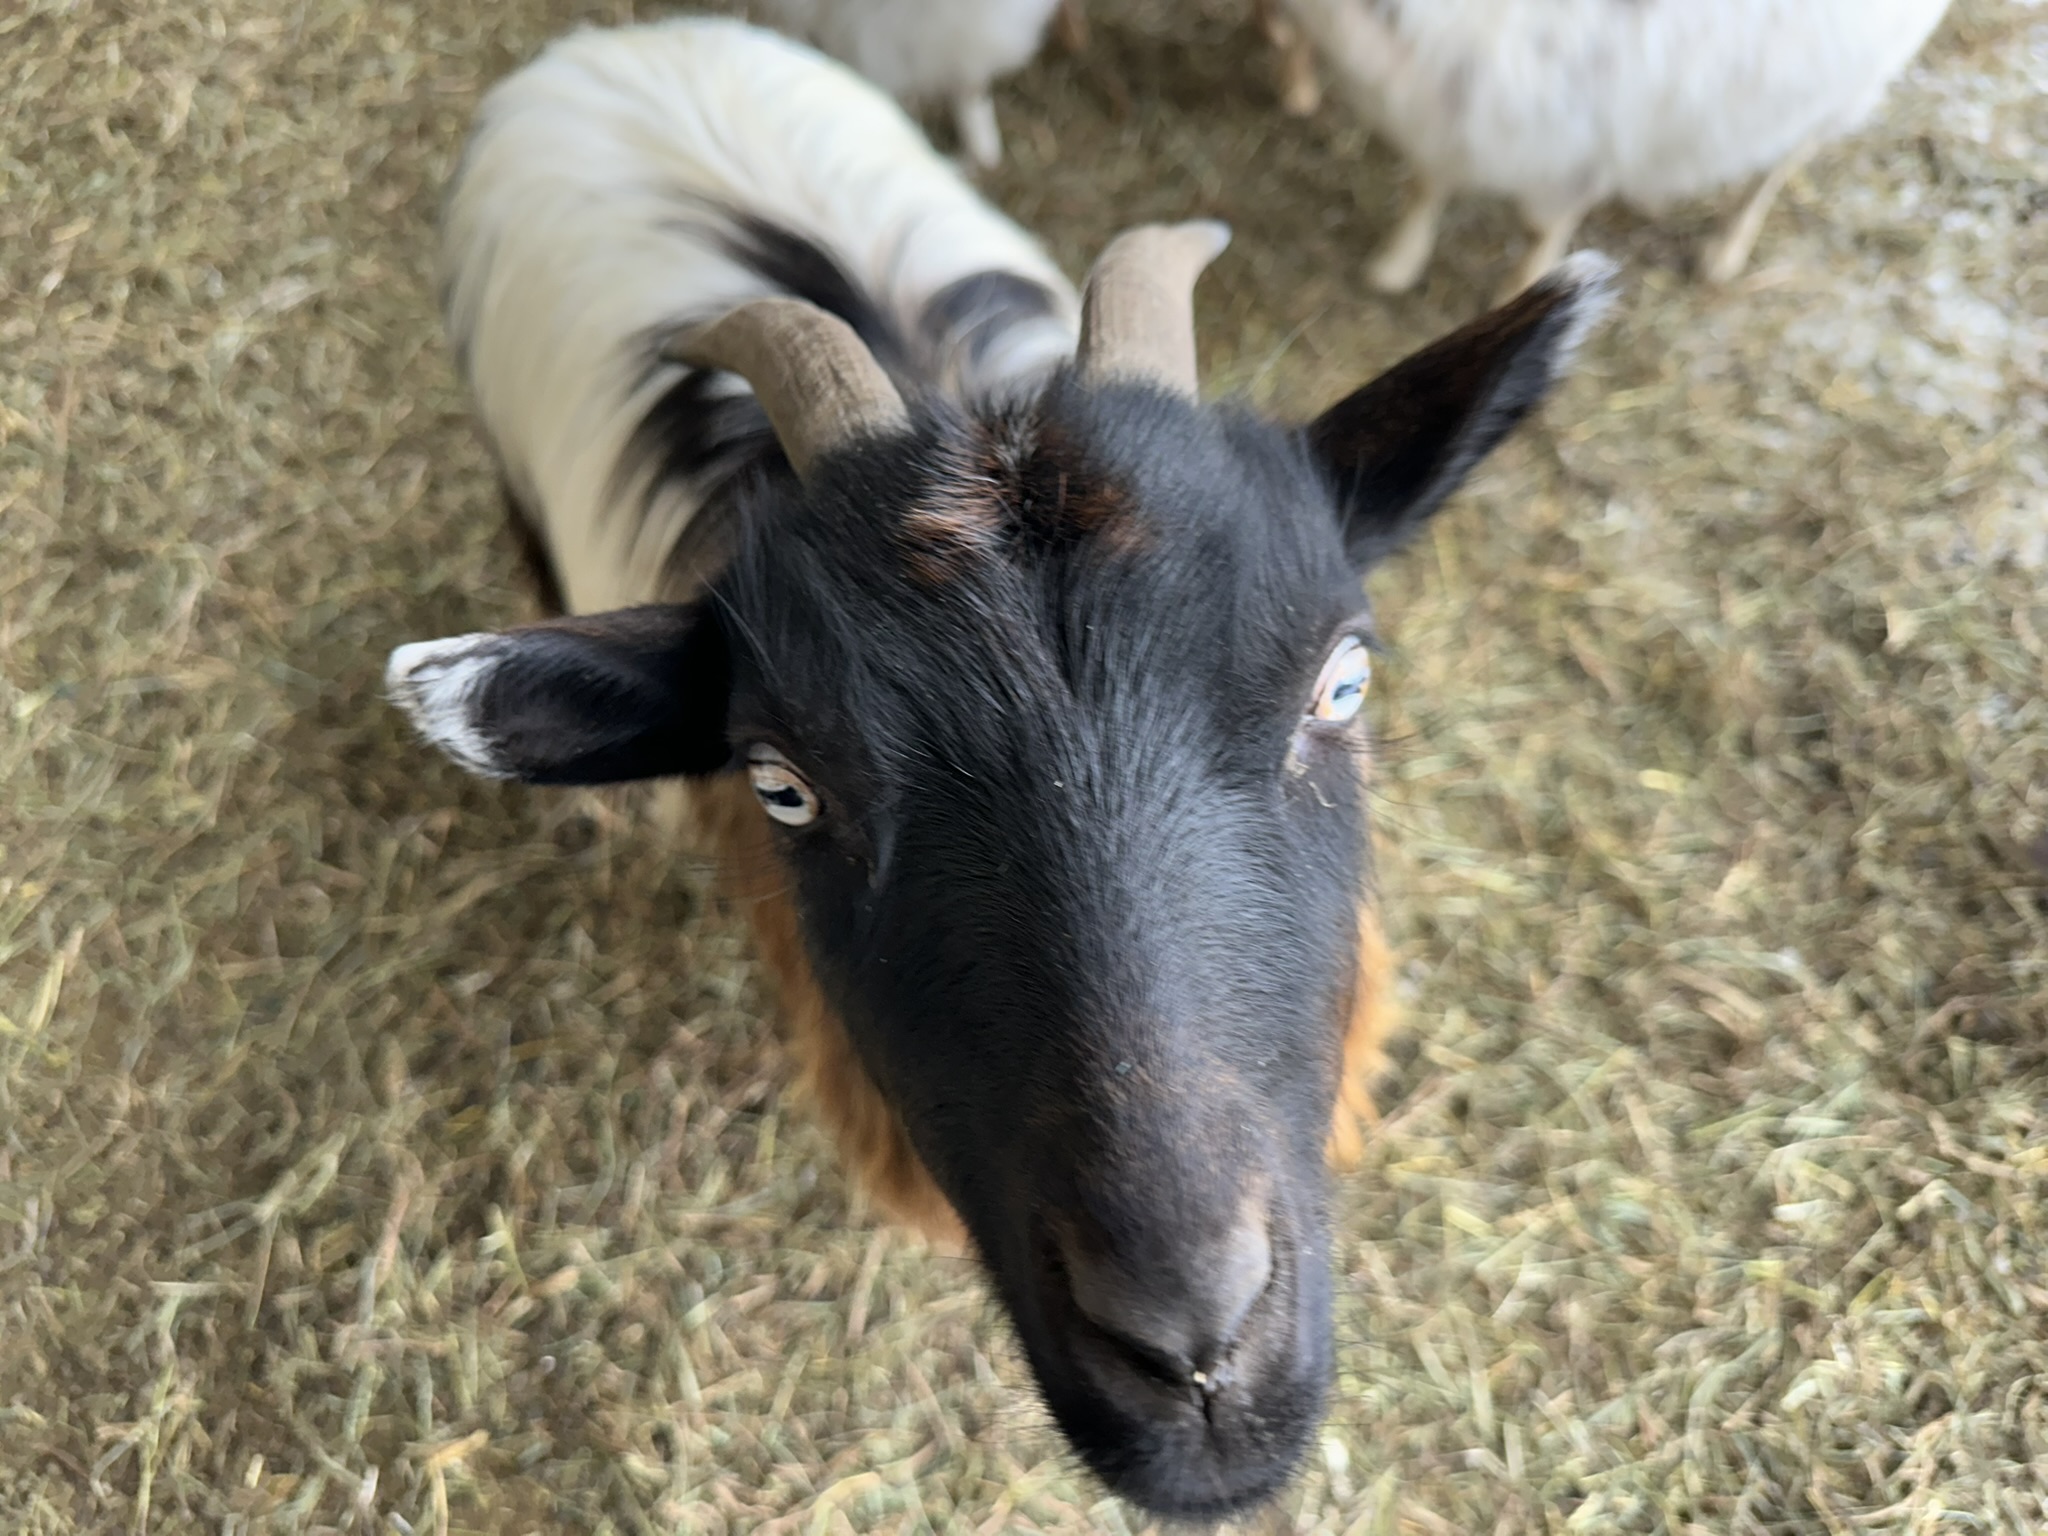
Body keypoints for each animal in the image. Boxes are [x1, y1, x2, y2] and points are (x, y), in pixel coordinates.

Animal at [1278, 0, 1951, 299]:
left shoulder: (1576, 150)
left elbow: (1538, 229)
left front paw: (1520, 293)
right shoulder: (1450, 121)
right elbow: (1425, 184)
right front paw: (1395, 264)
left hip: (1843, 90)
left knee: (1777, 168)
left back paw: (1724, 250)